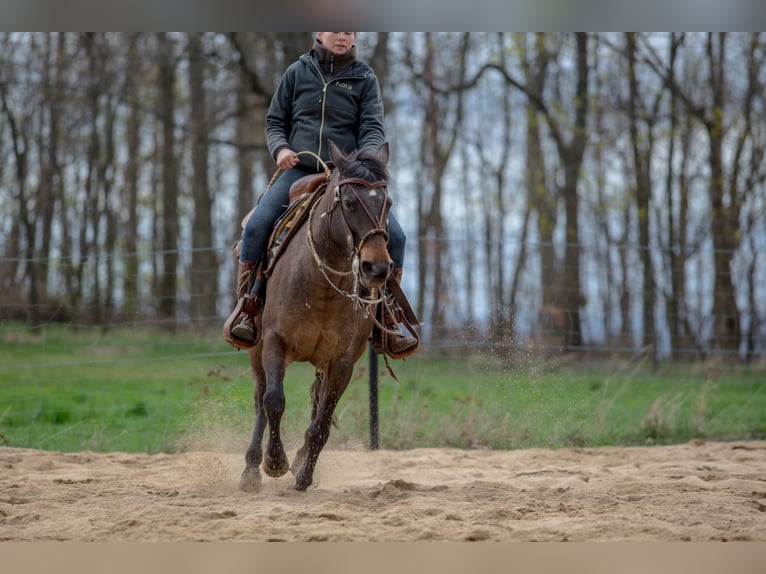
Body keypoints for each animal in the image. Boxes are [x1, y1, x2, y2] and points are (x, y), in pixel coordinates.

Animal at [238, 141, 396, 496]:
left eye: (388, 203)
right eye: (349, 202)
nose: (376, 268)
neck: (320, 285)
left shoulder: (342, 361)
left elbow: (322, 421)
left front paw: (303, 475)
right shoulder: (275, 344)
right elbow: (273, 401)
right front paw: (275, 462)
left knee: (316, 403)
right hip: (255, 348)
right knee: (259, 398)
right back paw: (252, 469)